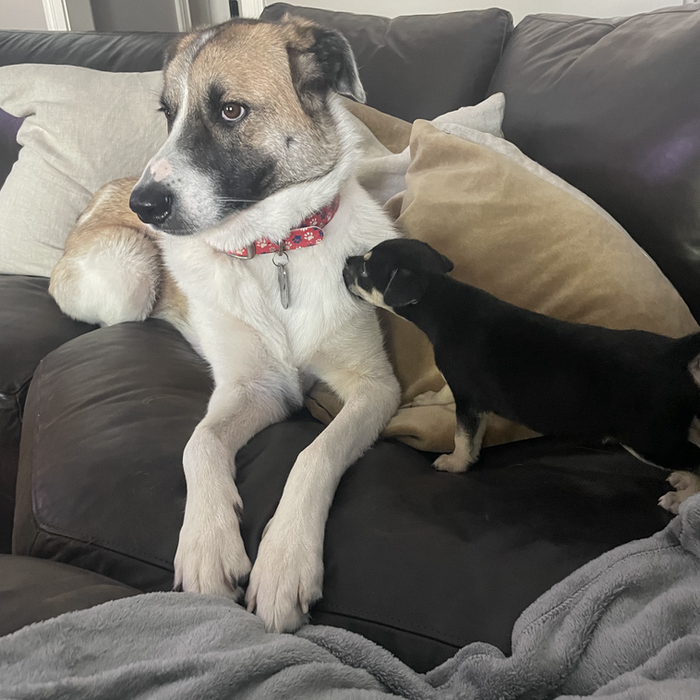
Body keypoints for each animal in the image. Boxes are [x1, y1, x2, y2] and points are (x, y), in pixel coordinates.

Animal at [49, 17, 401, 632]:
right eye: (167, 113)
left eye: (231, 111)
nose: (145, 205)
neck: (274, 248)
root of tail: (106, 191)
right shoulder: (254, 388)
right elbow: (201, 443)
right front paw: (207, 546)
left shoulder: (375, 387)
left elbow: (315, 454)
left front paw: (285, 560)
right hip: (129, 274)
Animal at [344, 238, 700, 514]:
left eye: (364, 271)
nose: (345, 262)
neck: (444, 305)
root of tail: (673, 353)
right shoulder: (462, 388)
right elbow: (445, 394)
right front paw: (427, 399)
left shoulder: (469, 401)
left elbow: (463, 437)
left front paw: (455, 464)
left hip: (650, 439)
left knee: (695, 459)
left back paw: (682, 498)